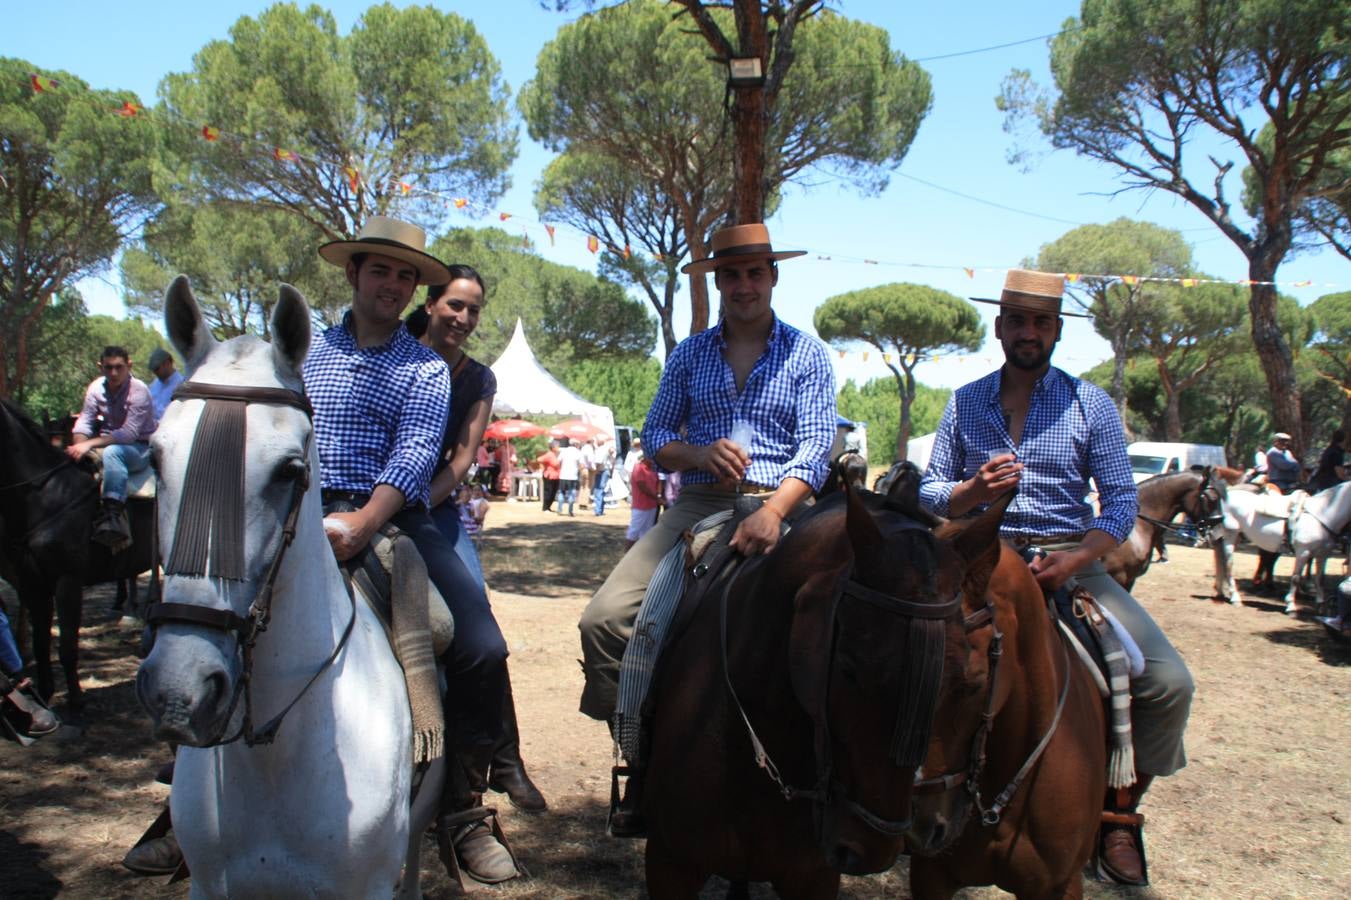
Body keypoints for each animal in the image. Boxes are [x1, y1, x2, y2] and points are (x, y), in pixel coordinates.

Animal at [0, 397, 156, 702]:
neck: (45, 495)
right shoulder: (32, 584)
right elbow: (41, 644)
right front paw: (47, 694)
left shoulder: (68, 581)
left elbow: (67, 646)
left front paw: (75, 700)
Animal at [133, 277, 437, 891]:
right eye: (154, 456)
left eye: (290, 471)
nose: (180, 688)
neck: (272, 748)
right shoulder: (210, 885)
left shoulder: (366, 887)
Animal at [1210, 472, 1351, 613]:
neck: (1322, 514)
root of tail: (1228, 493)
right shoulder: (1303, 552)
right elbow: (1295, 577)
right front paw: (1291, 606)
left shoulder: (1323, 554)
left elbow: (1320, 579)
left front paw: (1321, 606)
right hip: (1231, 535)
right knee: (1229, 564)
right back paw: (1235, 598)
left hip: (1236, 536)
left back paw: (1221, 592)